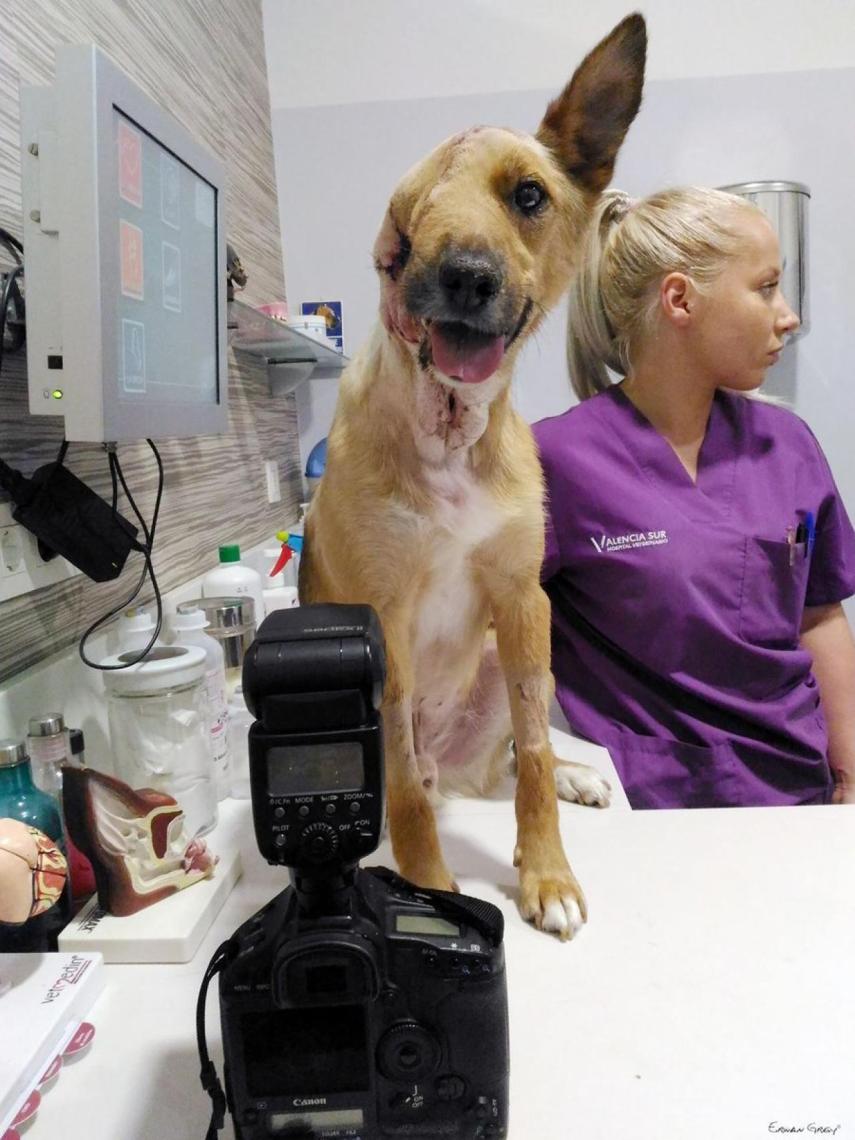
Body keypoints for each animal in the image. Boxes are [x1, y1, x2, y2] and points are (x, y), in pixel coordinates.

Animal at [305, 13, 647, 934]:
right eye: (414, 212)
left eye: (528, 195)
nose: (465, 277)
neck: (451, 434)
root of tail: (454, 763)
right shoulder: (382, 617)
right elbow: (406, 800)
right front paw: (430, 889)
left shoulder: (521, 596)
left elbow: (533, 755)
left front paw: (547, 871)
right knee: (420, 782)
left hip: (514, 652)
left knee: (511, 757)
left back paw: (576, 774)